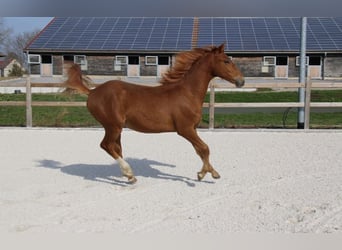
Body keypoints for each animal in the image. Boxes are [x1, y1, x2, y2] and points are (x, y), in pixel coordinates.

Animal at [65, 43, 243, 184]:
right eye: (226, 61)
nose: (241, 81)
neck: (187, 93)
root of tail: (92, 92)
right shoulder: (185, 129)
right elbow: (205, 148)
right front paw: (208, 174)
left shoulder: (192, 129)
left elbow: (200, 150)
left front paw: (205, 172)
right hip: (112, 126)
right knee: (106, 145)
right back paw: (129, 172)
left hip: (117, 128)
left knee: (116, 148)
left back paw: (130, 176)